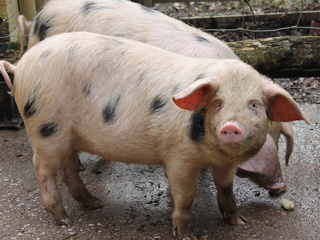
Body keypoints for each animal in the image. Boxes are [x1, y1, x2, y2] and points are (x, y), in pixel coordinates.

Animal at [0, 32, 308, 240]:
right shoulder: (178, 157)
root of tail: (21, 66)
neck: (211, 152)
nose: (231, 126)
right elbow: (186, 195)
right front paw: (187, 235)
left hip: (68, 135)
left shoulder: (224, 164)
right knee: (43, 169)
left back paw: (95, 203)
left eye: (254, 104)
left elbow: (226, 189)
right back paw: (64, 220)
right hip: (45, 127)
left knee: (69, 169)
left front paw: (239, 221)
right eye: (218, 103)